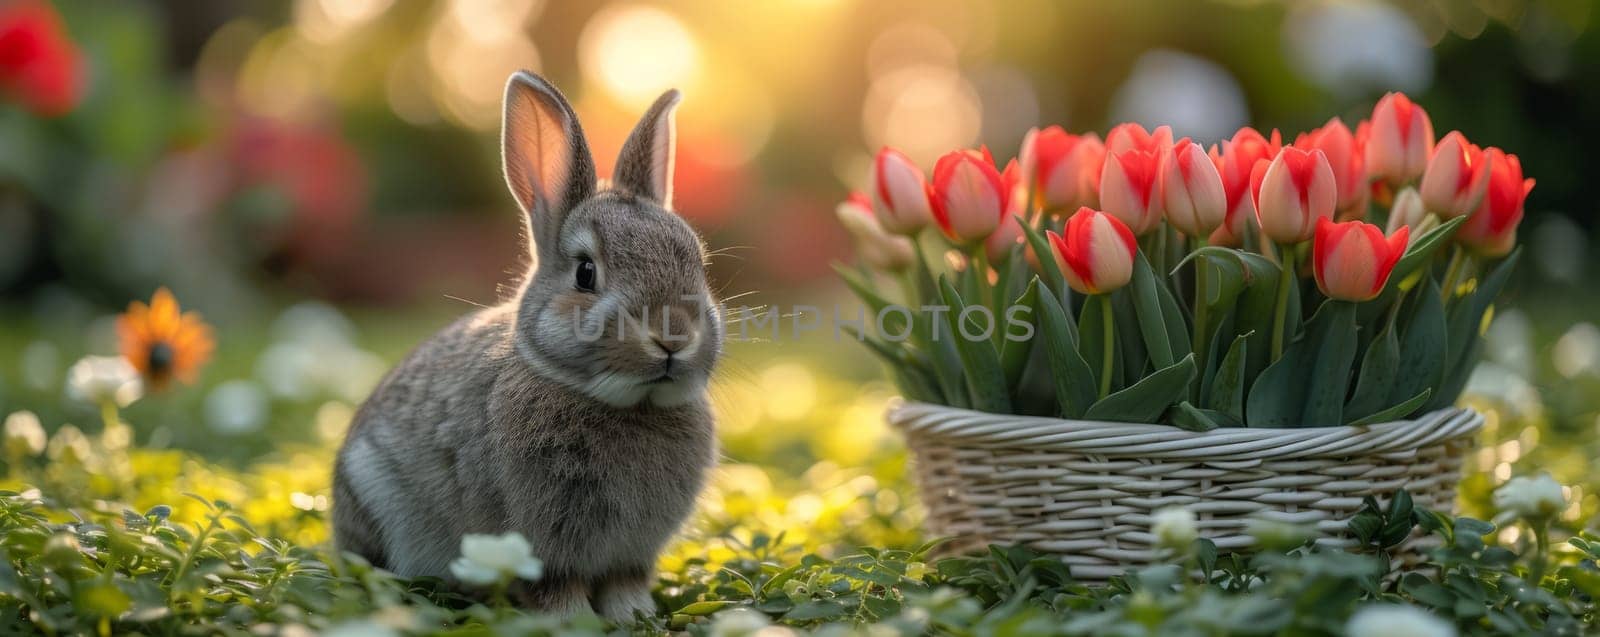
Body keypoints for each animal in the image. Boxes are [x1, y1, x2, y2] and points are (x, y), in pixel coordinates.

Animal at [334, 70, 723, 620]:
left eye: (698, 265)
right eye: (585, 273)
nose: (673, 336)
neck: (629, 405)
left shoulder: (631, 553)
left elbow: (625, 582)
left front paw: (635, 615)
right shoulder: (536, 540)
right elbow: (554, 588)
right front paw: (576, 622)